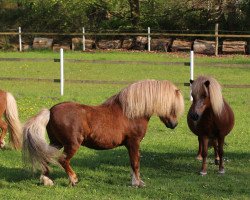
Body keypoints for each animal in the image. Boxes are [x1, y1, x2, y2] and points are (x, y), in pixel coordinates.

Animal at [22, 79, 185, 186]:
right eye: (172, 106)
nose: (174, 124)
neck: (131, 113)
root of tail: (50, 111)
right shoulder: (134, 142)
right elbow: (135, 162)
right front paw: (137, 183)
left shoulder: (130, 145)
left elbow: (132, 163)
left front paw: (136, 181)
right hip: (71, 144)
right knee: (63, 160)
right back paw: (73, 179)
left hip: (56, 143)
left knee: (46, 157)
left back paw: (47, 180)